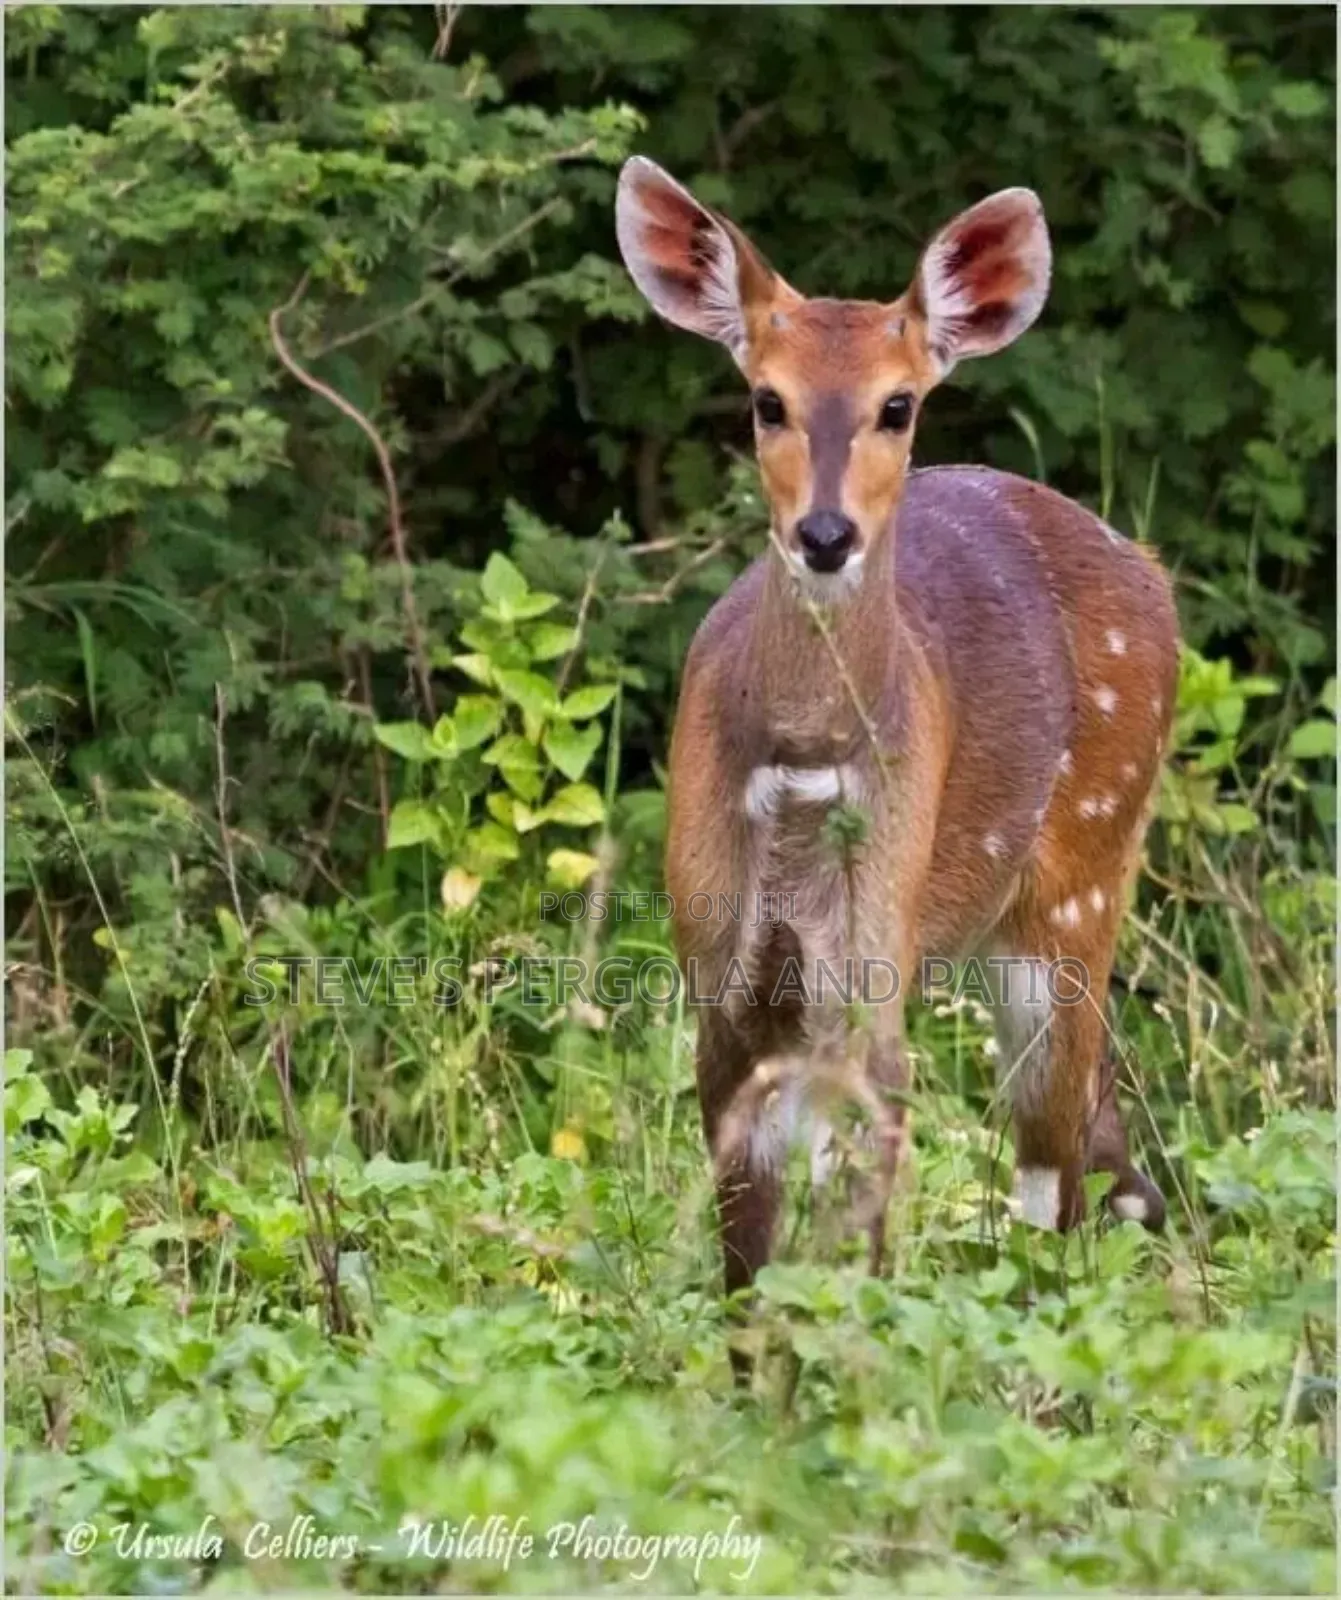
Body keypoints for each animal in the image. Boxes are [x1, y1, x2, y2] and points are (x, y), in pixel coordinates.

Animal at [615, 158, 1179, 1340]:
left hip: (1080, 888)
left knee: (1052, 1180)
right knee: (1106, 1154)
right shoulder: (721, 981)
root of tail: (1148, 568)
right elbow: (747, 1267)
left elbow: (854, 1243)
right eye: (766, 398)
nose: (826, 535)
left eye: (897, 403)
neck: (802, 757)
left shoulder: (868, 977)